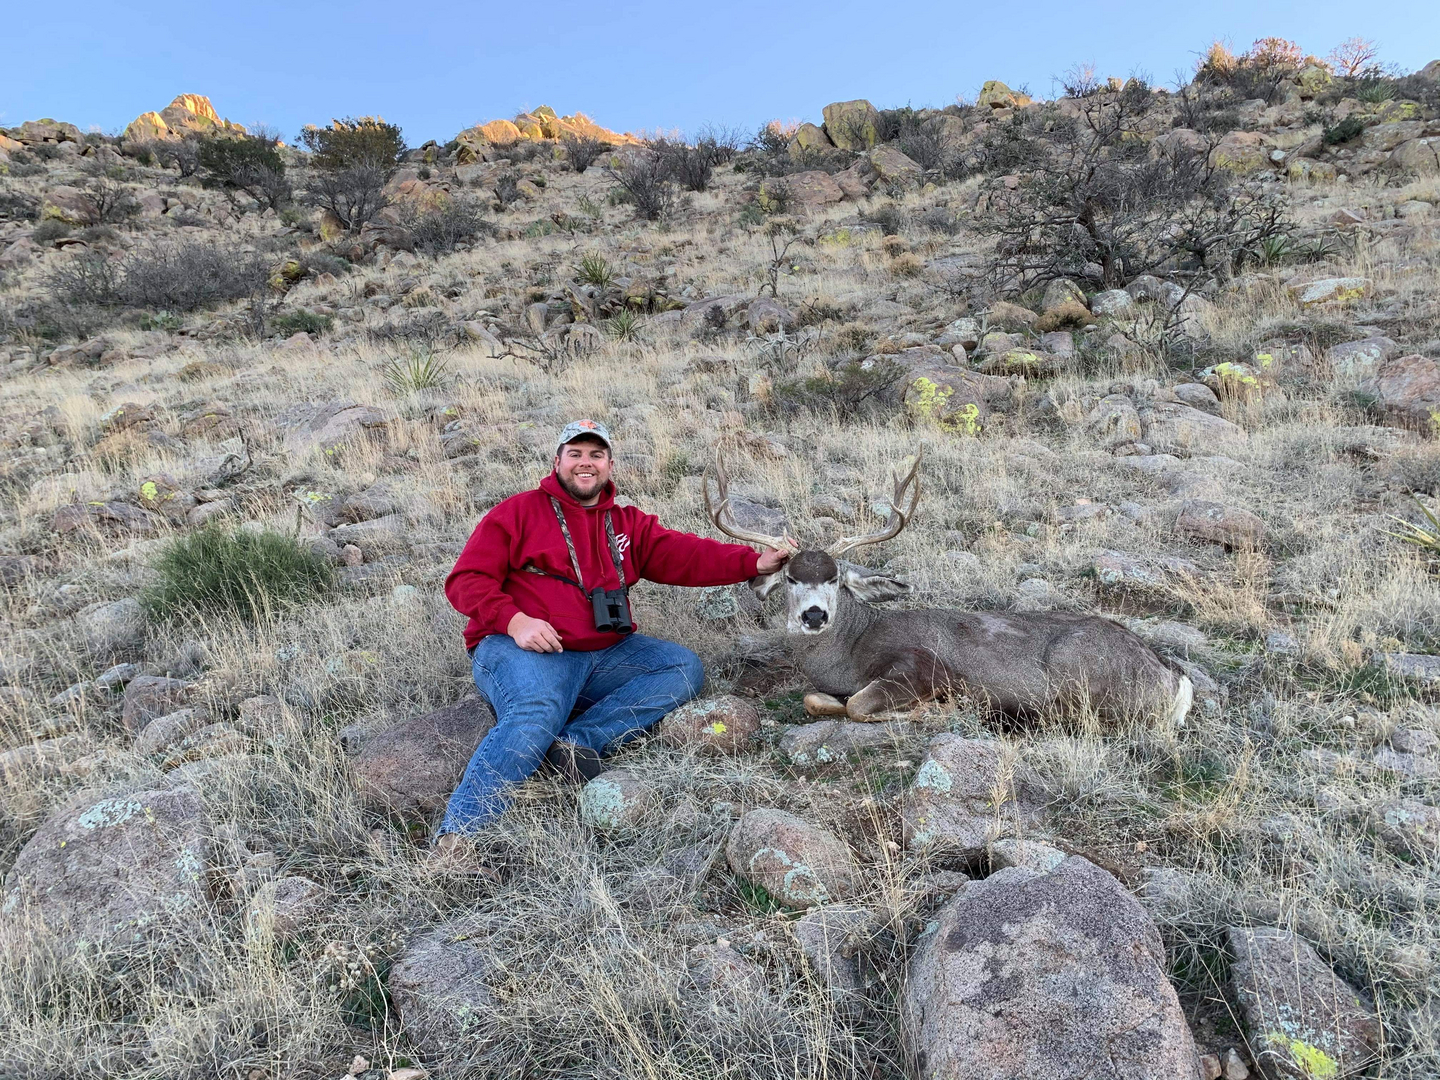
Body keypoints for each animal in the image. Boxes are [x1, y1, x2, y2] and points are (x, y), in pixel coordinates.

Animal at [704, 450, 1193, 727]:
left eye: (835, 578)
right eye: (790, 578)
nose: (813, 615)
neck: (849, 655)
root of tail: (1172, 678)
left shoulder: (923, 667)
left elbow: (858, 705)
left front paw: (935, 709)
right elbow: (813, 698)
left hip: (1079, 674)